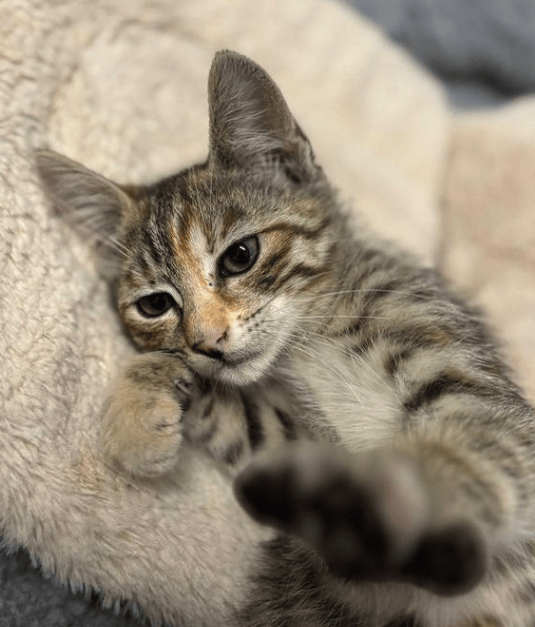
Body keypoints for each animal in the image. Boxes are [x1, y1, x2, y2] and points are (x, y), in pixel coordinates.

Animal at [35, 52, 535, 627]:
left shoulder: (469, 382)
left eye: (240, 256)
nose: (206, 341)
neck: (313, 333)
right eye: (155, 305)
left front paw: (403, 501)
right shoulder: (295, 438)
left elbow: (473, 443)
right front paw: (135, 417)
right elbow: (241, 416)